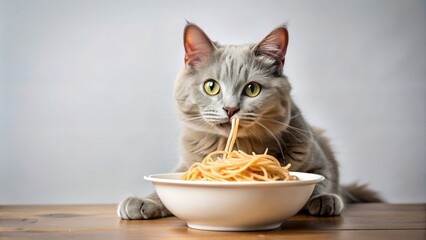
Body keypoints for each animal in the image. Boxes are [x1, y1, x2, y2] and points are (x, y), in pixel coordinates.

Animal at [117, 23, 382, 219]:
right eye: (211, 86)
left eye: (252, 89)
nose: (230, 108)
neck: (240, 146)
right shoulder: (185, 165)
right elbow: (167, 186)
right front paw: (141, 201)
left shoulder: (321, 160)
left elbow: (324, 180)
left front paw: (322, 199)